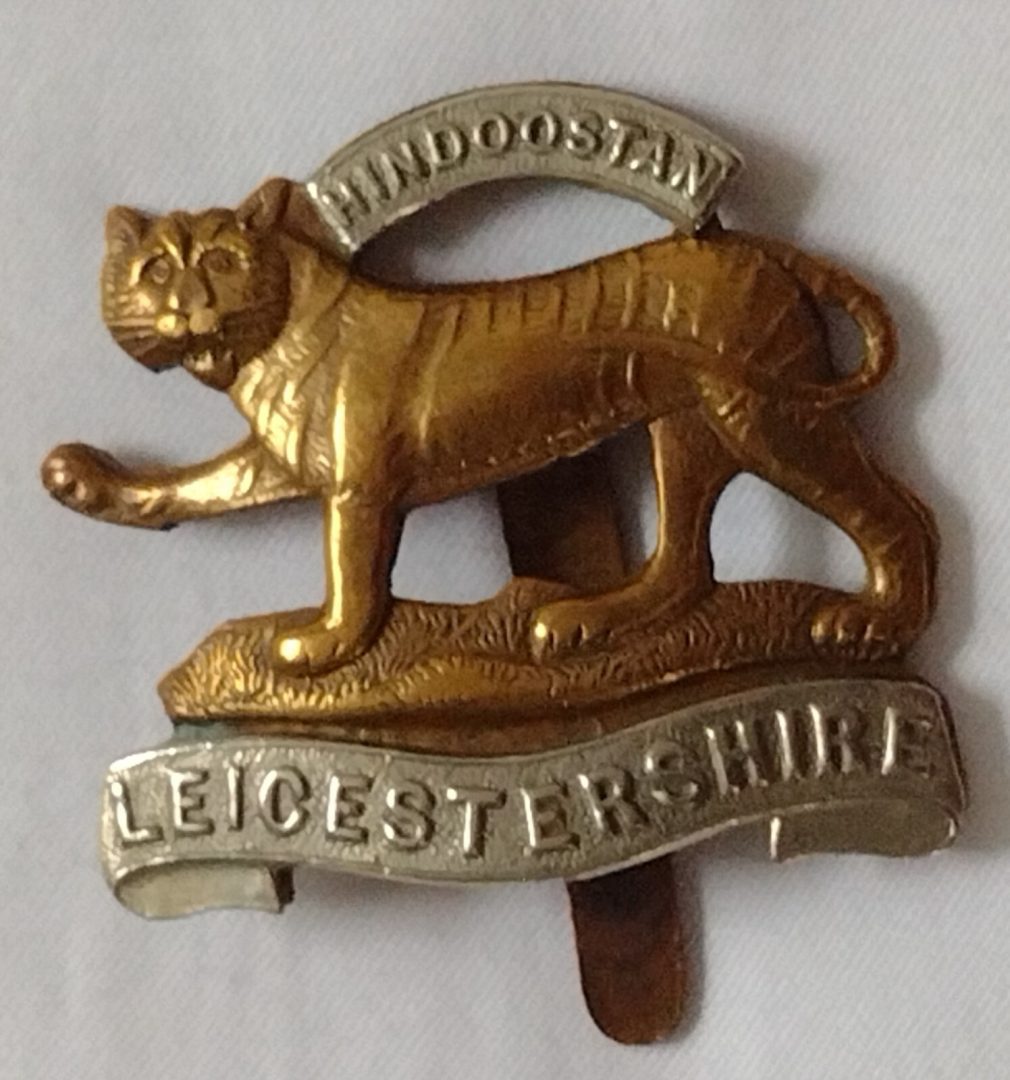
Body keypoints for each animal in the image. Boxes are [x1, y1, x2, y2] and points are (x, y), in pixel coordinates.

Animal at [40, 177, 936, 674]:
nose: (188, 307)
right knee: (685, 563)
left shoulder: (358, 488)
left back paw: (874, 622)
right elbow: (195, 486)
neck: (259, 340)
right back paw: (583, 622)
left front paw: (325, 647)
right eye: (156, 268)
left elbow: (351, 573)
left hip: (769, 415)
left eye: (222, 261)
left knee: (898, 514)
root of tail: (761, 248)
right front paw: (85, 482)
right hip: (685, 430)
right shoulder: (283, 459)